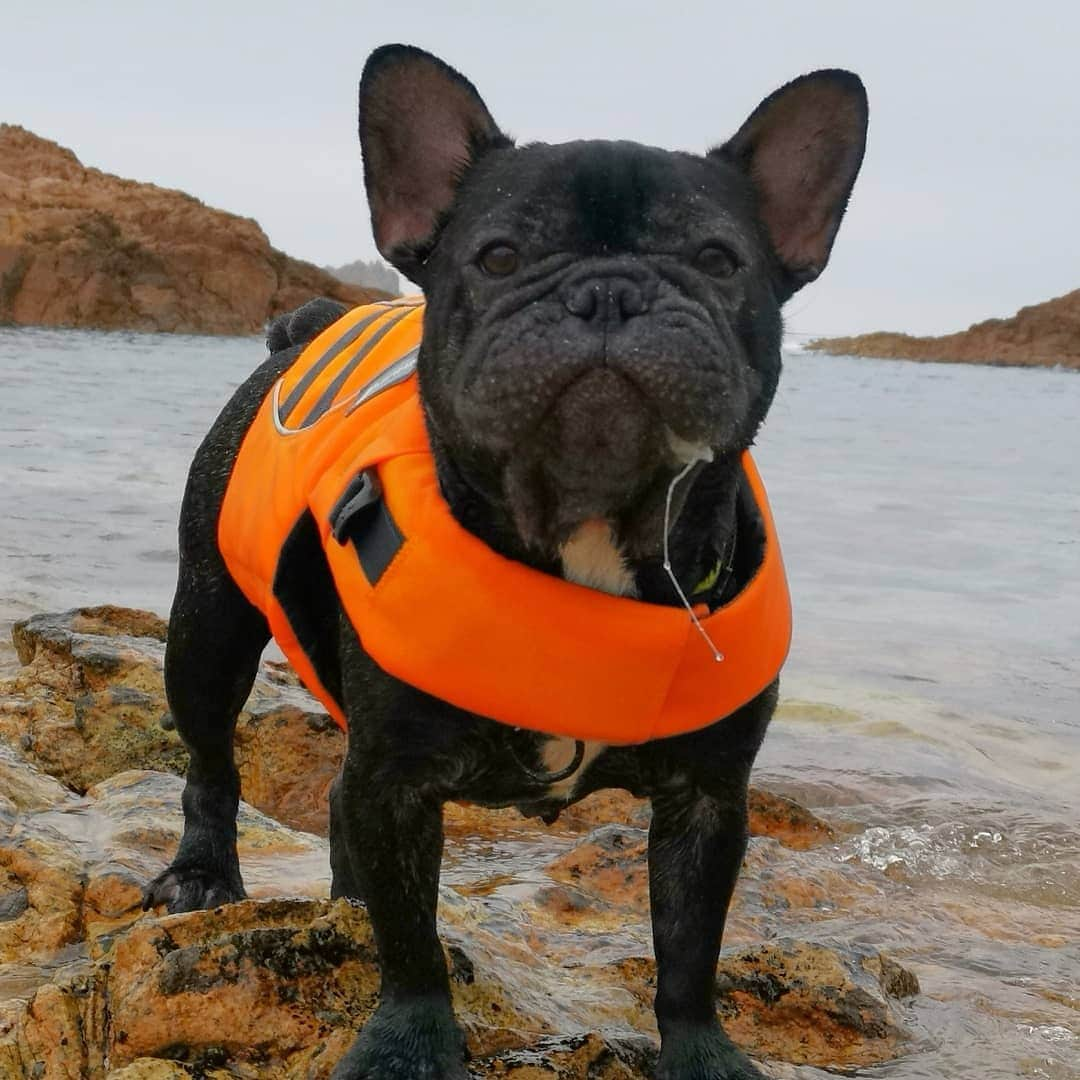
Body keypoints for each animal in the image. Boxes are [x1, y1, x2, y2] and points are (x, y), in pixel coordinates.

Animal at [143, 44, 868, 1080]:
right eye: (498, 259)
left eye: (718, 262)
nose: (609, 291)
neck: (591, 526)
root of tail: (310, 323)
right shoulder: (399, 780)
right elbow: (412, 945)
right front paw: (408, 1042)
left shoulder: (709, 801)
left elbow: (691, 946)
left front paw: (701, 1053)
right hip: (207, 627)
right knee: (211, 756)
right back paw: (205, 874)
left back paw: (345, 906)